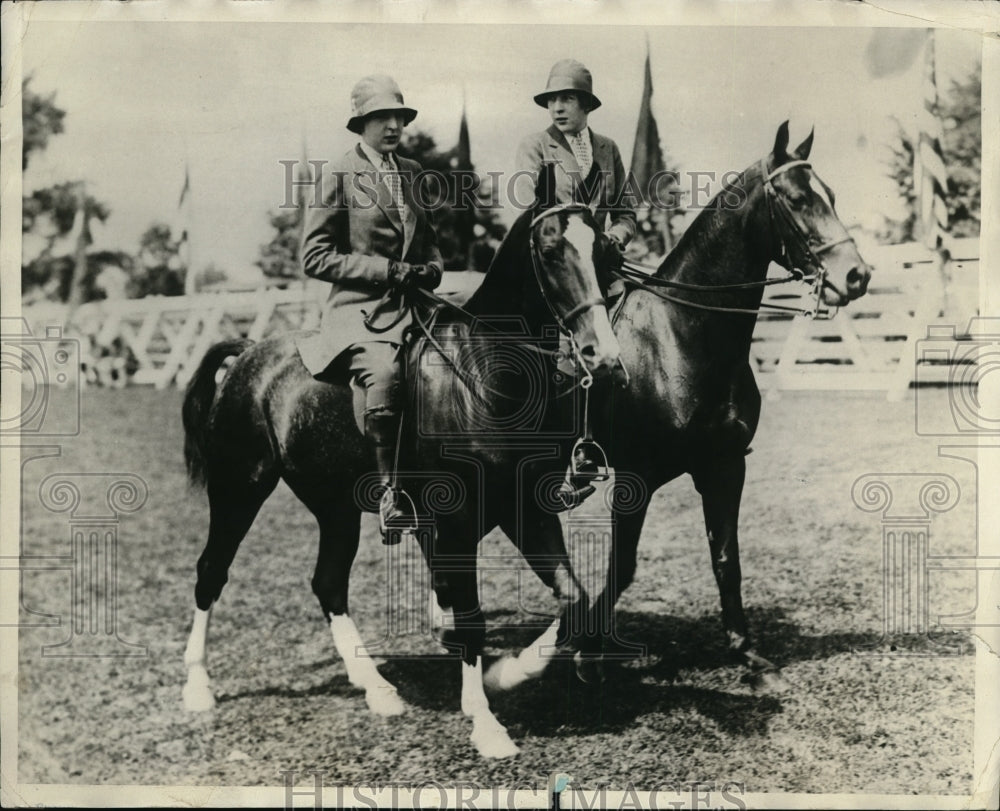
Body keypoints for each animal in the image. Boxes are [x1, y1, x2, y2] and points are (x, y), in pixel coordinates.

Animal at [179, 182, 624, 758]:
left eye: (605, 251)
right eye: (550, 251)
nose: (605, 355)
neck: (482, 374)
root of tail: (251, 353)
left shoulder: (526, 512)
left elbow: (574, 598)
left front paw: (509, 672)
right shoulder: (456, 525)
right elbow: (472, 618)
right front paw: (486, 722)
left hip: (335, 506)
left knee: (328, 584)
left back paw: (378, 689)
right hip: (240, 488)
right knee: (212, 570)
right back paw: (197, 686)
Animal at [485, 122, 872, 690]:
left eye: (833, 196)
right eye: (798, 198)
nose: (857, 276)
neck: (681, 338)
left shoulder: (725, 466)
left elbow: (726, 558)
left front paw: (748, 656)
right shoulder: (636, 478)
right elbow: (622, 567)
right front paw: (588, 653)